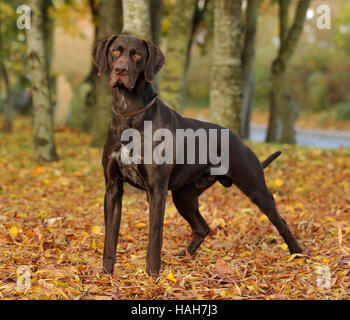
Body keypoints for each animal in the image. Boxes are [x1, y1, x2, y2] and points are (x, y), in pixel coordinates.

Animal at [93, 34, 304, 276]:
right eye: (115, 52)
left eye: (136, 54)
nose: (120, 69)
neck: (129, 113)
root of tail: (237, 138)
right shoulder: (113, 188)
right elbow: (110, 237)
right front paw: (106, 274)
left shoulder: (156, 191)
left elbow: (154, 238)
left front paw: (153, 275)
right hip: (183, 196)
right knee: (203, 227)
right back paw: (184, 255)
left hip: (256, 189)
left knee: (281, 221)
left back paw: (297, 253)